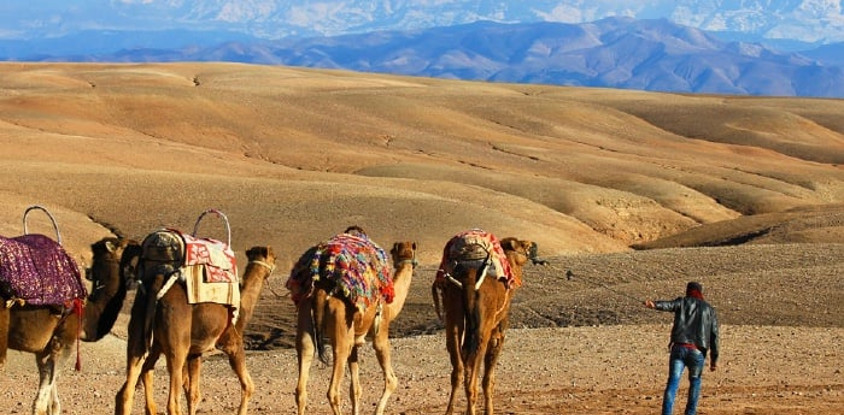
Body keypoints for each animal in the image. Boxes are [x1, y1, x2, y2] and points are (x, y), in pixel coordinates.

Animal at [1, 236, 135, 415]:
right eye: (124, 244)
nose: (137, 244)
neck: (88, 311)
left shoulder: (45, 347)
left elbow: (51, 392)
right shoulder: (65, 339)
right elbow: (43, 399)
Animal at [114, 243, 276, 415]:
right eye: (274, 258)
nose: (275, 265)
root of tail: (157, 285)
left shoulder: (195, 351)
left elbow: (193, 394)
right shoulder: (232, 342)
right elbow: (248, 386)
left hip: (140, 335)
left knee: (126, 391)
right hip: (176, 344)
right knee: (171, 401)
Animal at [290, 234, 417, 415]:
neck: (391, 305)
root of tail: (320, 290)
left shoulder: (355, 342)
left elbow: (355, 389)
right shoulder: (381, 332)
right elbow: (392, 380)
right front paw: (378, 411)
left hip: (306, 313)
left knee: (302, 377)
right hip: (341, 327)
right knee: (333, 390)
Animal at [432, 231, 536, 415]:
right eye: (523, 245)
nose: (533, 245)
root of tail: (468, 282)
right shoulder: (498, 329)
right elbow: (488, 378)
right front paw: (489, 410)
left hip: (453, 311)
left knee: (458, 368)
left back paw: (450, 411)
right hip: (483, 327)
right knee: (472, 373)